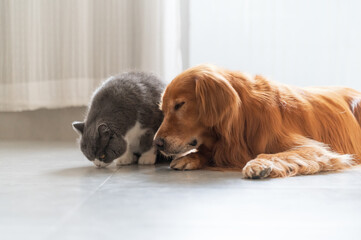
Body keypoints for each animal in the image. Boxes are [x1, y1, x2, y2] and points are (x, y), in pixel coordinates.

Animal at [154, 63, 360, 178]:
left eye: (179, 105)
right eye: (163, 109)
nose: (157, 143)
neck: (243, 119)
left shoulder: (315, 148)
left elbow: (270, 154)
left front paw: (258, 164)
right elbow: (208, 151)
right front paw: (190, 157)